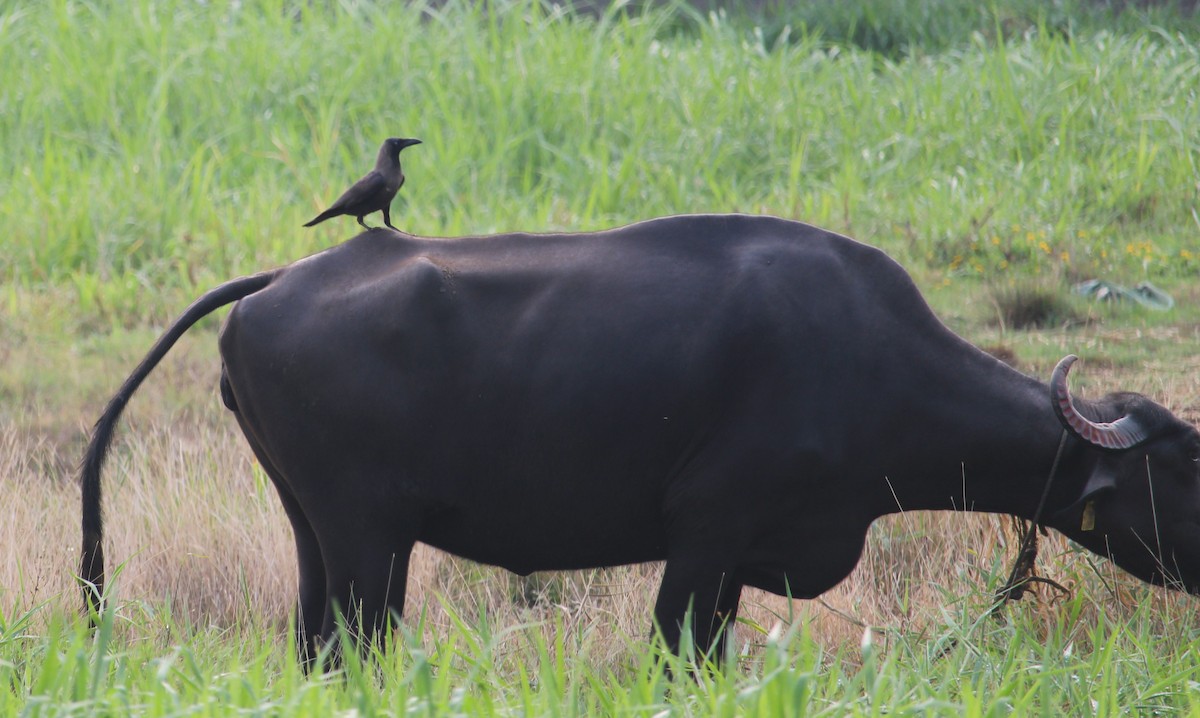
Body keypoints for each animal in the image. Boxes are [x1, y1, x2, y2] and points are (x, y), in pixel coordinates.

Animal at [79, 214, 1200, 662]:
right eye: (1181, 468)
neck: (867, 362)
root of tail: (277, 281)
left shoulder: (732, 562)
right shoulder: (704, 539)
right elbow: (677, 653)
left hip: (319, 531)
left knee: (319, 645)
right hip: (365, 538)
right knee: (354, 644)